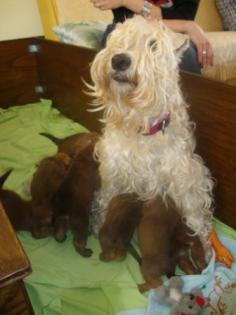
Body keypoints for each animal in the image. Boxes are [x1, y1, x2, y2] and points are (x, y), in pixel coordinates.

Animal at [88, 15, 232, 264]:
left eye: (153, 45)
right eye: (119, 39)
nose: (119, 60)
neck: (142, 126)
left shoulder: (184, 180)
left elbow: (196, 218)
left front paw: (204, 246)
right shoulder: (114, 172)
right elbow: (107, 198)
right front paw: (99, 222)